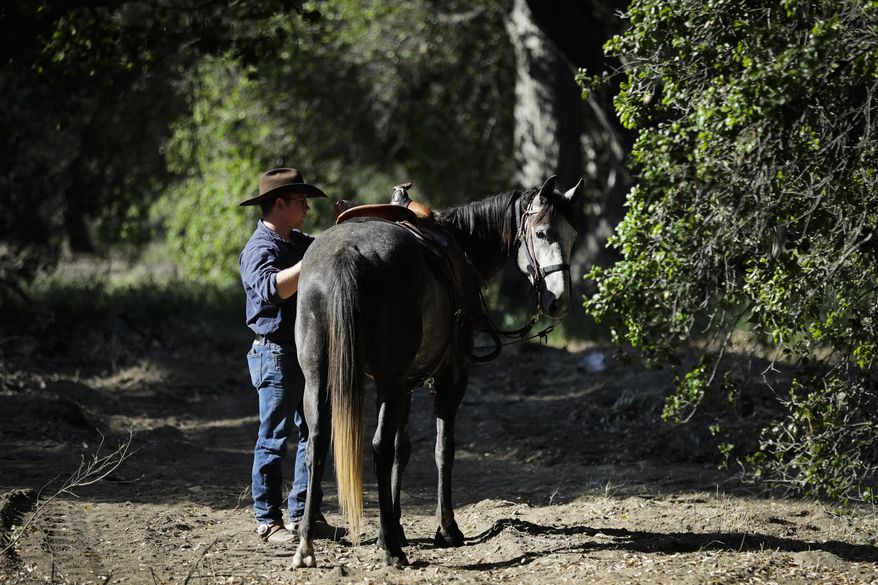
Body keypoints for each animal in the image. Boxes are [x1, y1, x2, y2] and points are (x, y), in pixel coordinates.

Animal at [292, 176, 583, 568]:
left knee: (318, 443)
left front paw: (397, 524)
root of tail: (346, 253)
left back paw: (307, 544)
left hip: (319, 377)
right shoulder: (449, 377)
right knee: (378, 448)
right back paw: (391, 550)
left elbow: (403, 448)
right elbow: (443, 449)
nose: (560, 301)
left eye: (572, 235)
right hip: (388, 380)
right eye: (541, 233)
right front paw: (445, 529)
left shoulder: (405, 384)